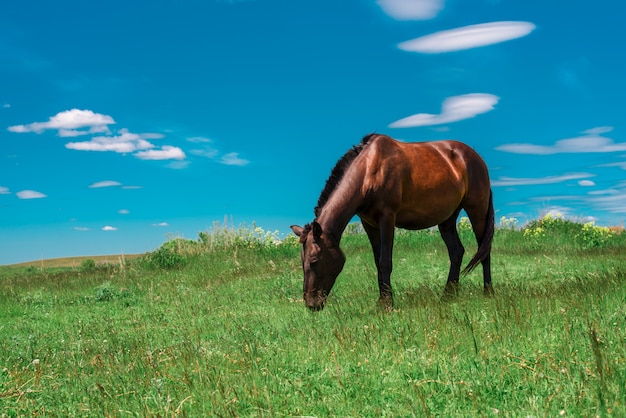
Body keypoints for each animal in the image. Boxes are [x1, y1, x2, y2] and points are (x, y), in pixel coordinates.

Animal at [292, 134, 492, 310]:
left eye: (314, 260)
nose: (311, 304)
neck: (370, 171)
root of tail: (477, 158)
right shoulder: (369, 224)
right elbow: (377, 261)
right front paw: (381, 300)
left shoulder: (387, 218)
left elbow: (385, 261)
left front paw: (387, 304)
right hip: (447, 219)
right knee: (456, 252)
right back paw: (448, 296)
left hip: (477, 211)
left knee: (484, 249)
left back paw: (488, 293)